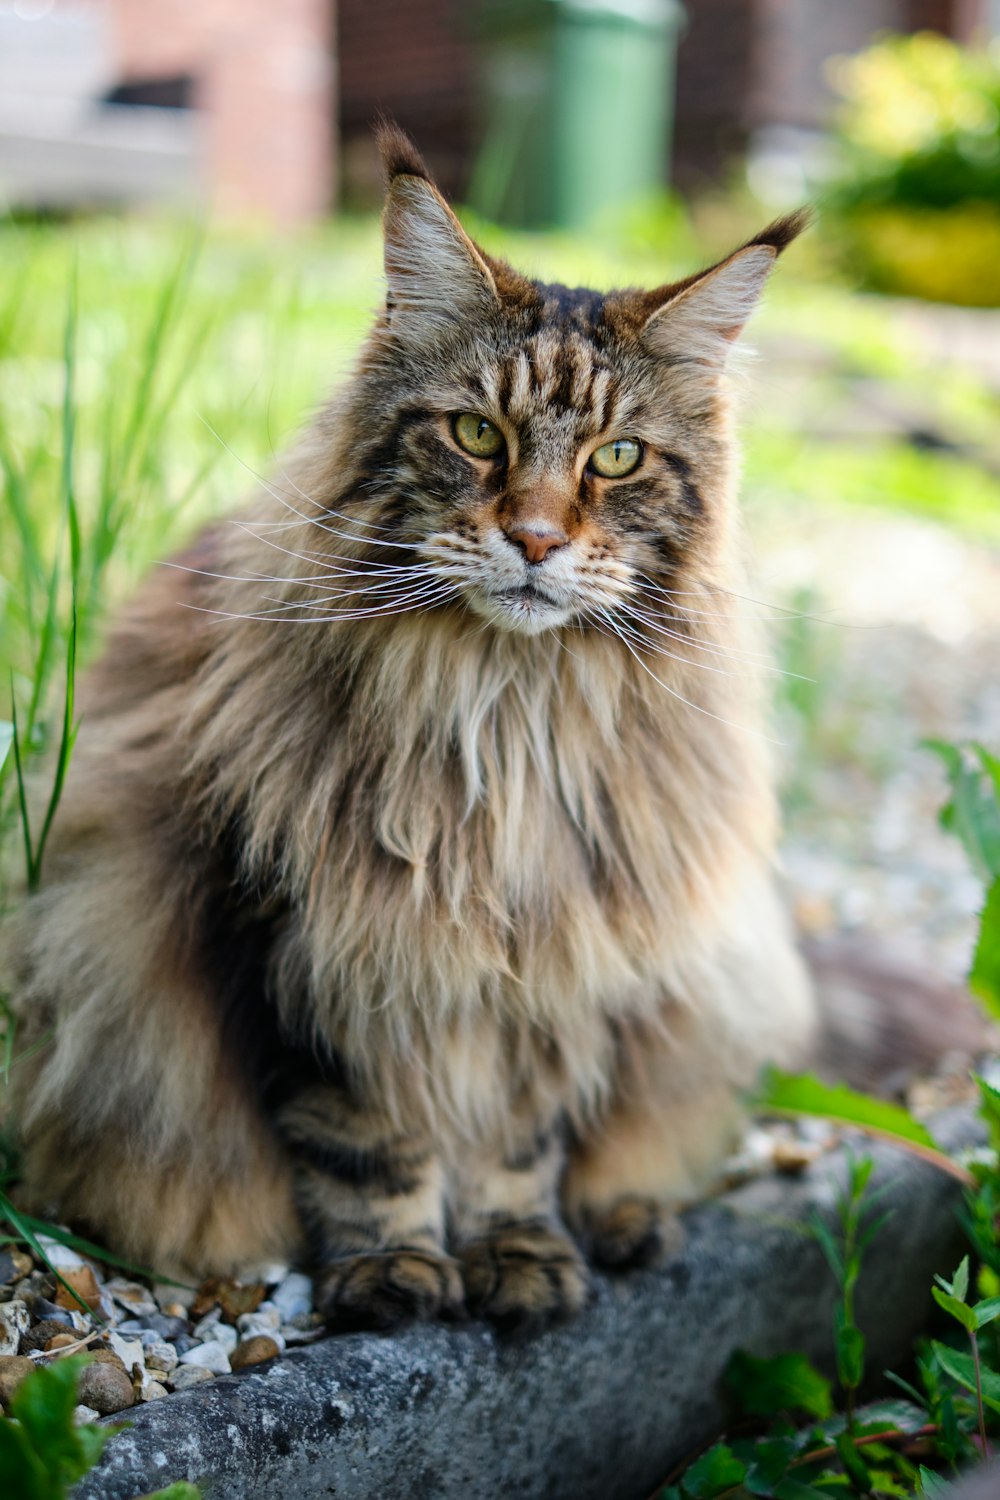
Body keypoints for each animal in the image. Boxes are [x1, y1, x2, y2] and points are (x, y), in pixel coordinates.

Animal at [7, 126, 815, 1326]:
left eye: (615, 458)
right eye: (478, 434)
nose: (535, 539)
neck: (506, 718)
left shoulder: (553, 962)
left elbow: (518, 1151)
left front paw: (518, 1255)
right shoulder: (311, 949)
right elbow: (367, 1142)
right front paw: (393, 1271)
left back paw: (627, 1224)